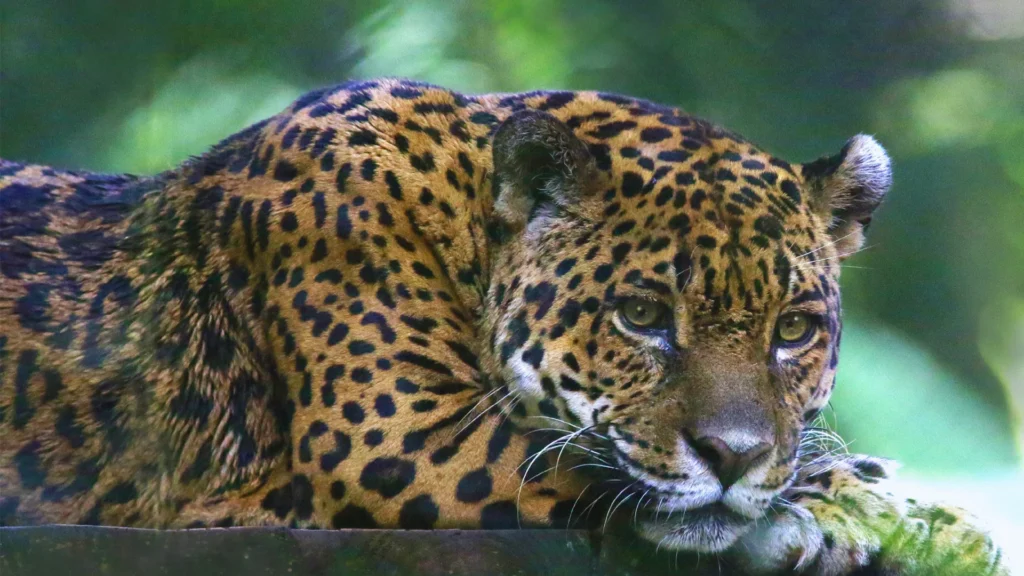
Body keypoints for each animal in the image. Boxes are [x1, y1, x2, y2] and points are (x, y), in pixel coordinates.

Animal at [0, 78, 1005, 575]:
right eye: (643, 316)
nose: (733, 455)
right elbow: (569, 460)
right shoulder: (393, 437)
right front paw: (890, 513)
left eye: (794, 330)